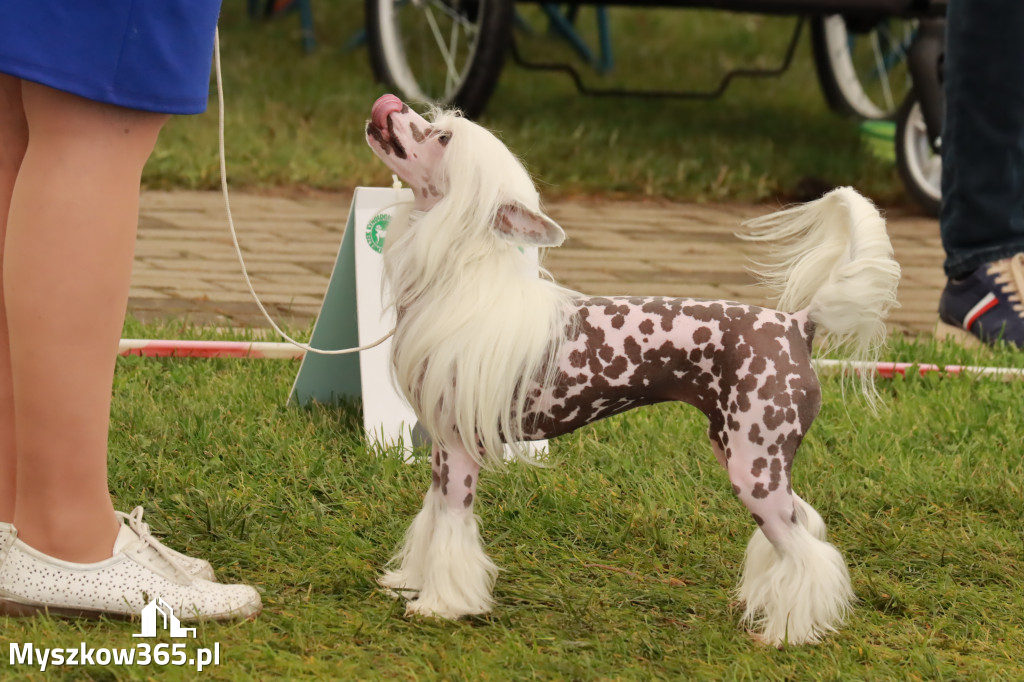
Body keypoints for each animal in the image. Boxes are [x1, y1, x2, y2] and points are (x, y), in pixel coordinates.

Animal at [364, 94, 901, 643]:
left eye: (442, 138)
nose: (393, 105)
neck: (459, 279)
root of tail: (797, 324)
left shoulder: (458, 448)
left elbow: (451, 526)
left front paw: (441, 605)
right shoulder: (440, 449)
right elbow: (431, 516)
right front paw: (411, 582)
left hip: (754, 468)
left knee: (806, 549)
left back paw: (790, 632)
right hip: (740, 450)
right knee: (804, 523)